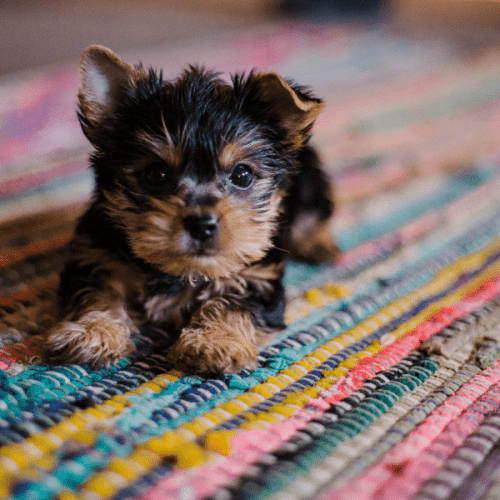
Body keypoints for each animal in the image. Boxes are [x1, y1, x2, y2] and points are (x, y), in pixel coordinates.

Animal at [44, 46, 340, 376]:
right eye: (156, 174)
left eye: (242, 175)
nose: (201, 224)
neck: (181, 271)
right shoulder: (96, 253)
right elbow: (98, 291)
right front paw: (93, 332)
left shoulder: (257, 274)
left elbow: (233, 302)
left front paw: (215, 342)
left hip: (310, 182)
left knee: (315, 212)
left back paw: (320, 244)